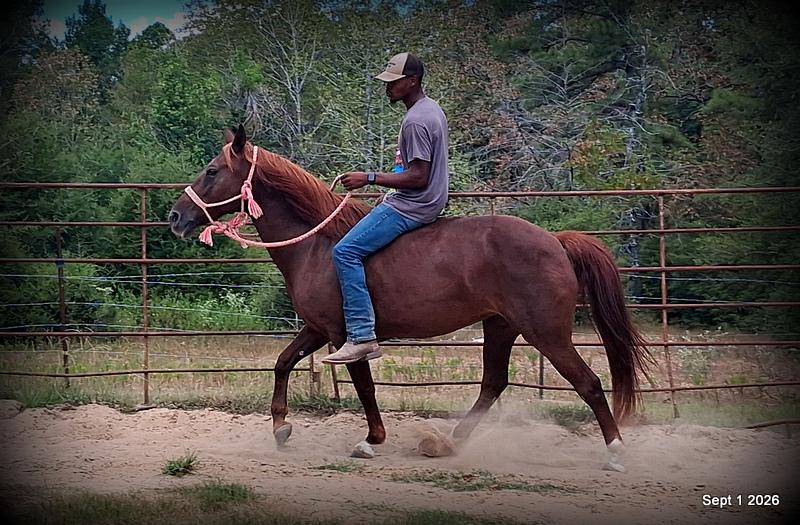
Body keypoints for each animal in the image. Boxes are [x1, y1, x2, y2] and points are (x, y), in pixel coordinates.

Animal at [168, 125, 652, 471]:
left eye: (212, 171)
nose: (175, 216)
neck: (318, 244)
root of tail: (555, 240)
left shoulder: (346, 336)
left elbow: (363, 386)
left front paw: (371, 441)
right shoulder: (317, 329)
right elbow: (283, 363)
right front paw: (281, 427)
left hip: (547, 333)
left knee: (588, 384)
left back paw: (615, 452)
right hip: (502, 327)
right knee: (493, 384)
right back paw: (448, 443)